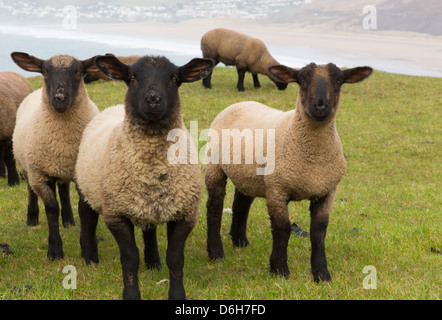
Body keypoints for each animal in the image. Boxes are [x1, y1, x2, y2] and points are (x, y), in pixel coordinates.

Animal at [9, 52, 100, 260]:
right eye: (45, 71)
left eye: (78, 72)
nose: (59, 98)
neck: (62, 144)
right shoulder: (40, 175)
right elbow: (51, 208)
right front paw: (55, 250)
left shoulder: (81, 173)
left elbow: (83, 209)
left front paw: (87, 249)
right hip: (27, 167)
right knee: (31, 190)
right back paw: (32, 217)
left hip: (63, 170)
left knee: (64, 190)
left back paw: (68, 220)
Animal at [75, 54, 215, 300]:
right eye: (132, 78)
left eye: (174, 78)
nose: (153, 99)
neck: (153, 168)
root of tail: (112, 108)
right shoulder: (116, 214)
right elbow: (130, 258)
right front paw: (131, 295)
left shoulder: (185, 214)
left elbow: (175, 259)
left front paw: (177, 294)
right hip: (88, 188)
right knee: (87, 217)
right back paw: (90, 257)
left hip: (147, 204)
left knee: (149, 229)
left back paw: (153, 263)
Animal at [205, 61, 372, 282]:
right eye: (302, 79)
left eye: (338, 81)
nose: (320, 106)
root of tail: (239, 103)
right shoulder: (277, 190)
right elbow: (282, 229)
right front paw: (279, 269)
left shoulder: (327, 191)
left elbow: (318, 232)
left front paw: (321, 273)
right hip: (214, 165)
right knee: (214, 207)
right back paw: (216, 251)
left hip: (248, 175)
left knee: (241, 204)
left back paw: (240, 241)